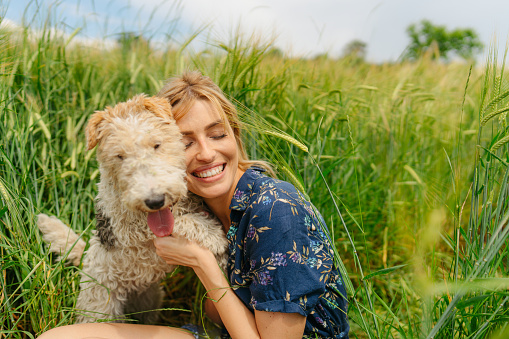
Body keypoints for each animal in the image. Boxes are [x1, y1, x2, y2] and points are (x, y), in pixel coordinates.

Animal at [36, 95, 226, 324]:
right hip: (100, 310)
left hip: (150, 299)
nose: (155, 201)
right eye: (119, 156)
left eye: (156, 145)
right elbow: (180, 222)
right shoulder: (129, 226)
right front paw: (214, 235)